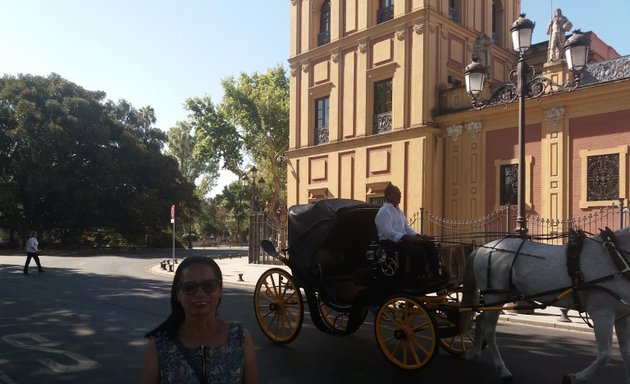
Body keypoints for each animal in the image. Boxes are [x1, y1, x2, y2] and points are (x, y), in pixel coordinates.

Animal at [462, 226, 630, 382]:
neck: (616, 256)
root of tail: (483, 248)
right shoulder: (602, 314)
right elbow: (605, 355)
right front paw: (574, 377)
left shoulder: (622, 317)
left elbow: (626, 352)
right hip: (494, 294)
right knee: (489, 330)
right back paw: (503, 370)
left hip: (502, 296)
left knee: (480, 320)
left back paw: (474, 352)